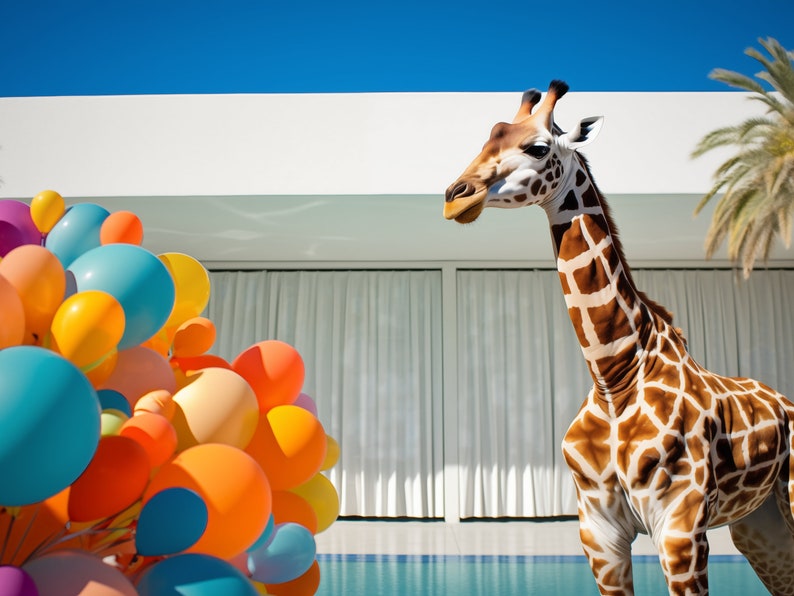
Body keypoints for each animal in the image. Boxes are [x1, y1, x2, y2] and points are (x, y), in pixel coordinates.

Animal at [444, 80, 794, 595]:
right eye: (490, 136)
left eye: (538, 147)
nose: (454, 197)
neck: (614, 376)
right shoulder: (599, 533)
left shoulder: (681, 528)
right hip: (758, 522)